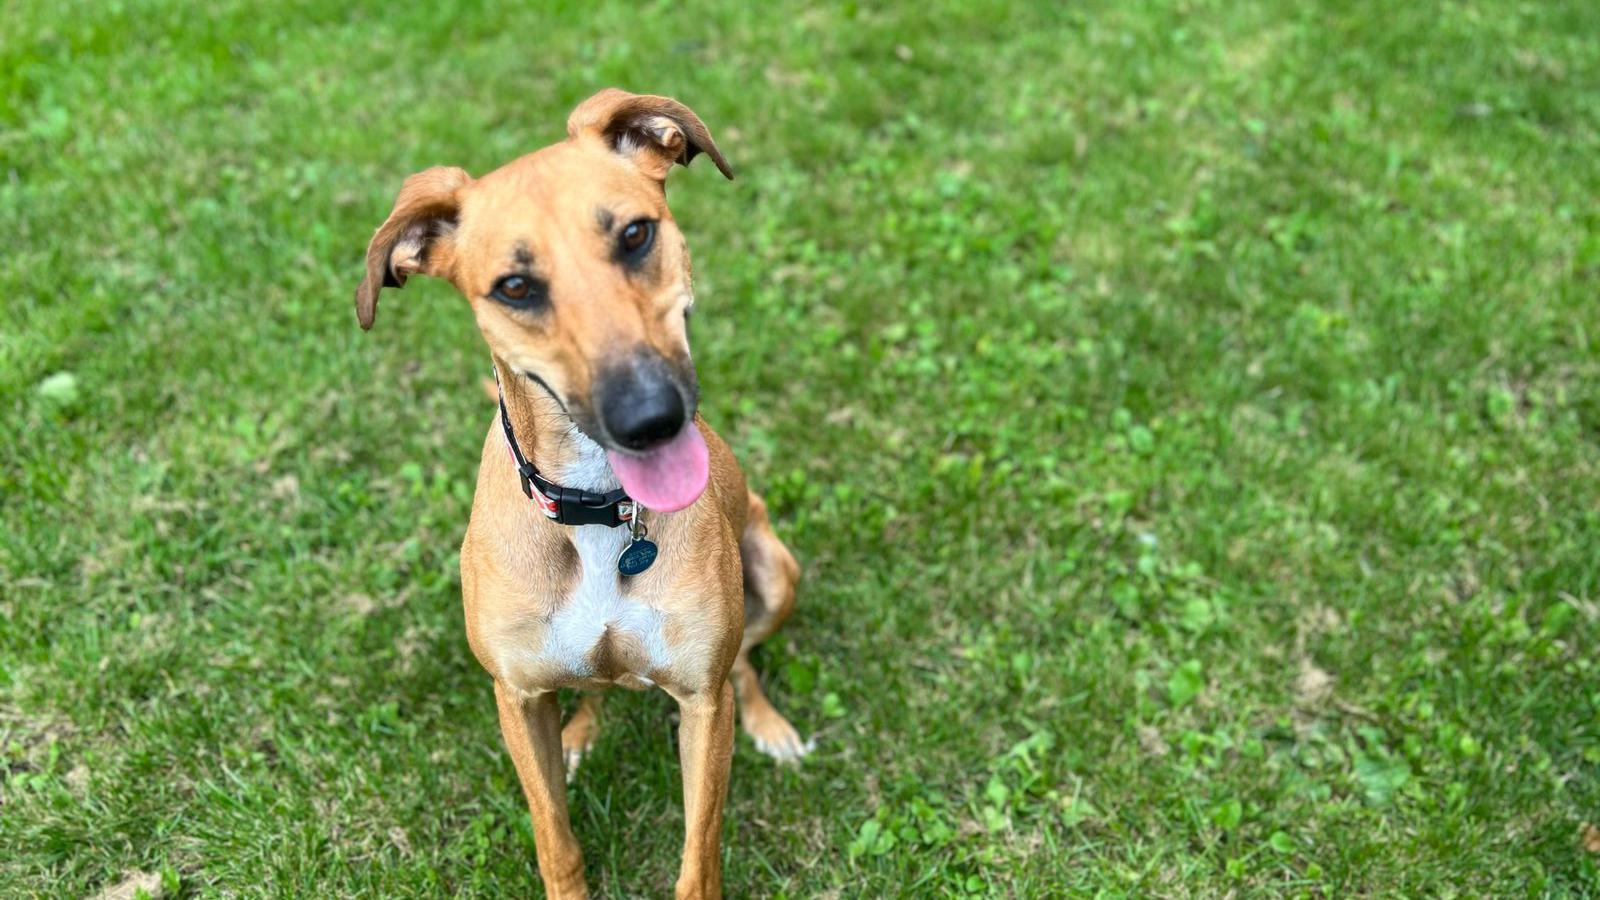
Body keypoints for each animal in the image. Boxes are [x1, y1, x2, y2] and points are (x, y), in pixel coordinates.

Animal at [355, 87, 806, 890]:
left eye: (634, 234)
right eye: (515, 287)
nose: (650, 419)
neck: (597, 512)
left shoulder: (700, 701)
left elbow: (700, 852)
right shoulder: (517, 698)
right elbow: (555, 840)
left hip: (776, 572)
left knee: (746, 663)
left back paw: (767, 722)